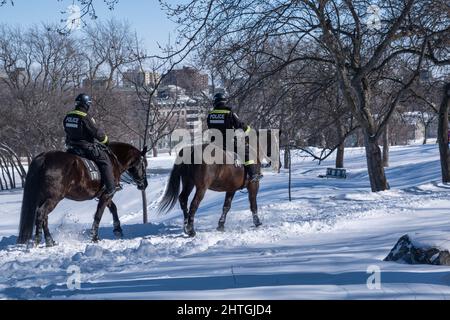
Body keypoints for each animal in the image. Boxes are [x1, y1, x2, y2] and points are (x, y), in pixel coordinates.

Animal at [16, 142, 148, 245]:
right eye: (144, 164)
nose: (144, 184)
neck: (114, 159)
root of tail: (44, 157)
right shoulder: (107, 194)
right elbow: (99, 214)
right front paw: (94, 237)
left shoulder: (105, 195)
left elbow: (113, 208)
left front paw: (118, 229)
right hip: (53, 198)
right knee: (41, 214)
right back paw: (40, 241)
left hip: (44, 198)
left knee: (44, 217)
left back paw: (50, 241)